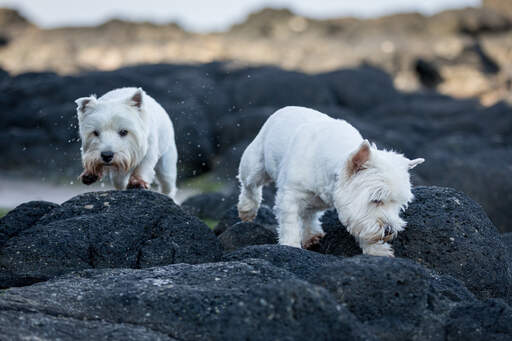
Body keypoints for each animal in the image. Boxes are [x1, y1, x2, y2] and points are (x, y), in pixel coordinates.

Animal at [237, 106, 424, 255]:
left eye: (399, 205)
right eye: (376, 200)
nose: (389, 230)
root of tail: (286, 108)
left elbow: (363, 227)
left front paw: (377, 251)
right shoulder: (290, 195)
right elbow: (290, 222)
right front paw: (290, 246)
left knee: (309, 213)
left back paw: (311, 235)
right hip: (255, 162)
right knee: (250, 184)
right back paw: (247, 209)